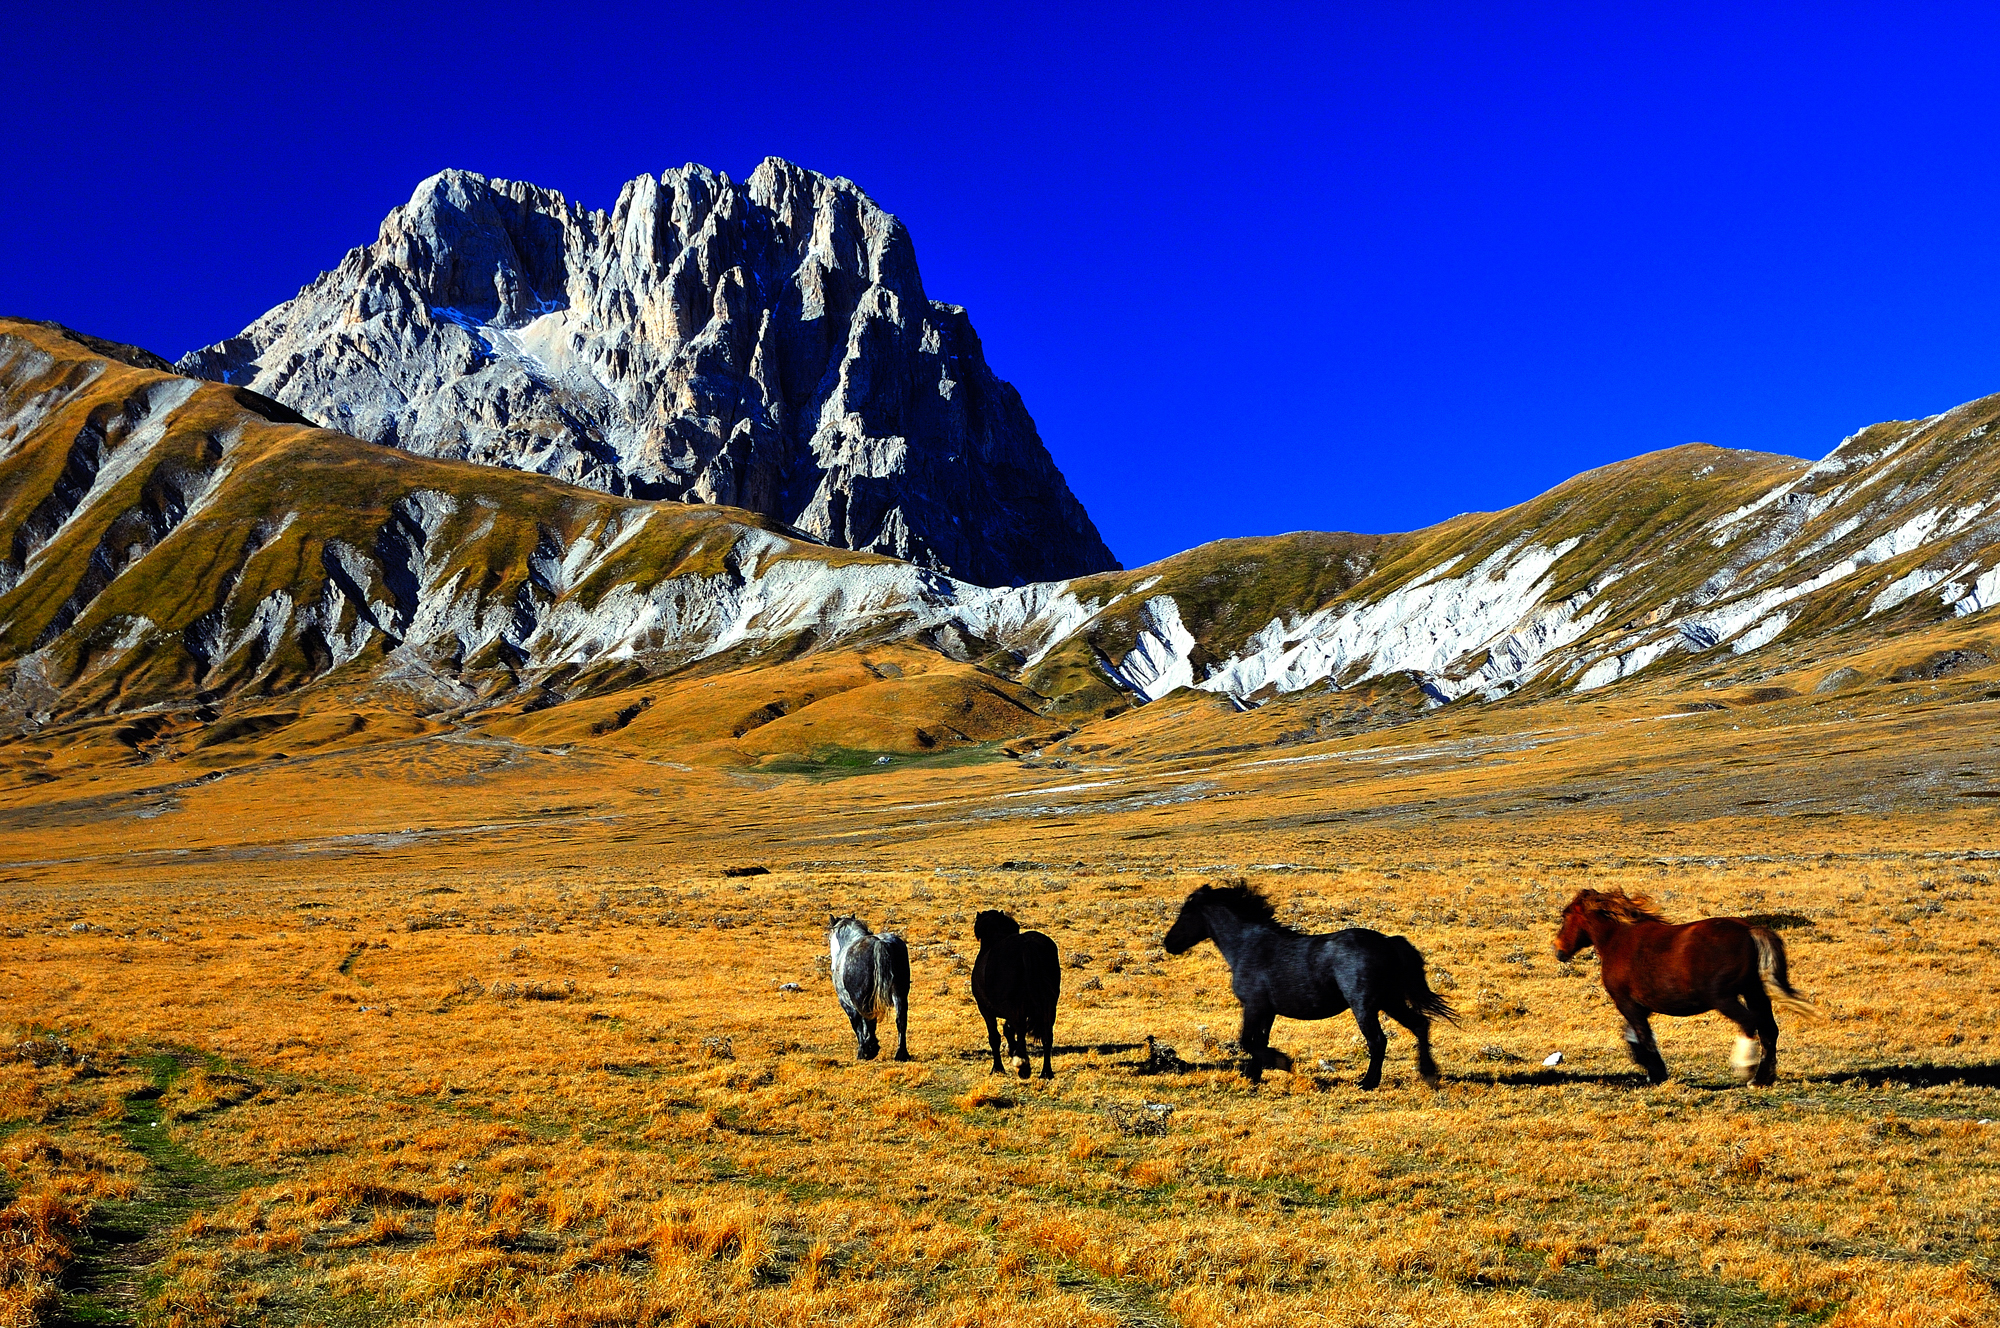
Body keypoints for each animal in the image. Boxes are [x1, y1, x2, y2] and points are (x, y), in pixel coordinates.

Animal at [826, 915, 911, 1062]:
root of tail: (880, 943)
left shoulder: (848, 1004)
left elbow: (858, 1026)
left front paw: (864, 1049)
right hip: (900, 994)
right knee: (901, 1020)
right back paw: (901, 1054)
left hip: (863, 1000)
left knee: (869, 1021)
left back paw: (868, 1051)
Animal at [970, 910, 1061, 1079]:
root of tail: (1026, 945)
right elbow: (1008, 1029)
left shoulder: (986, 1009)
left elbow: (995, 1037)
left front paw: (998, 1068)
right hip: (1049, 1005)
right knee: (1047, 1035)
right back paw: (1046, 1072)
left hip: (1015, 1006)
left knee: (1020, 1029)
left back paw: (1023, 1065)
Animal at [1162, 882, 1457, 1088]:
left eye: (1186, 913)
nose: (1168, 944)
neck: (1247, 946)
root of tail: (1388, 942)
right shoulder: (1266, 1011)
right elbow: (1258, 1041)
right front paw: (1254, 1077)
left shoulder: (1253, 1006)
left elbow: (1247, 1041)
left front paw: (1282, 1063)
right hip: (1390, 1000)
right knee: (1420, 1025)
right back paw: (1428, 1074)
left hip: (1365, 1006)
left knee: (1378, 1041)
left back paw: (1367, 1083)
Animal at [1554, 888, 1819, 1086]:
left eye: (1565, 916)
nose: (1558, 950)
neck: (1617, 939)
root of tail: (1751, 930)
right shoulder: (1641, 1006)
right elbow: (1632, 1035)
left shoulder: (1627, 1003)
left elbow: (1643, 1036)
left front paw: (1657, 1073)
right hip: (1754, 991)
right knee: (1768, 1030)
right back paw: (1762, 1079)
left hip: (1724, 997)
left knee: (1749, 1022)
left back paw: (1745, 1069)